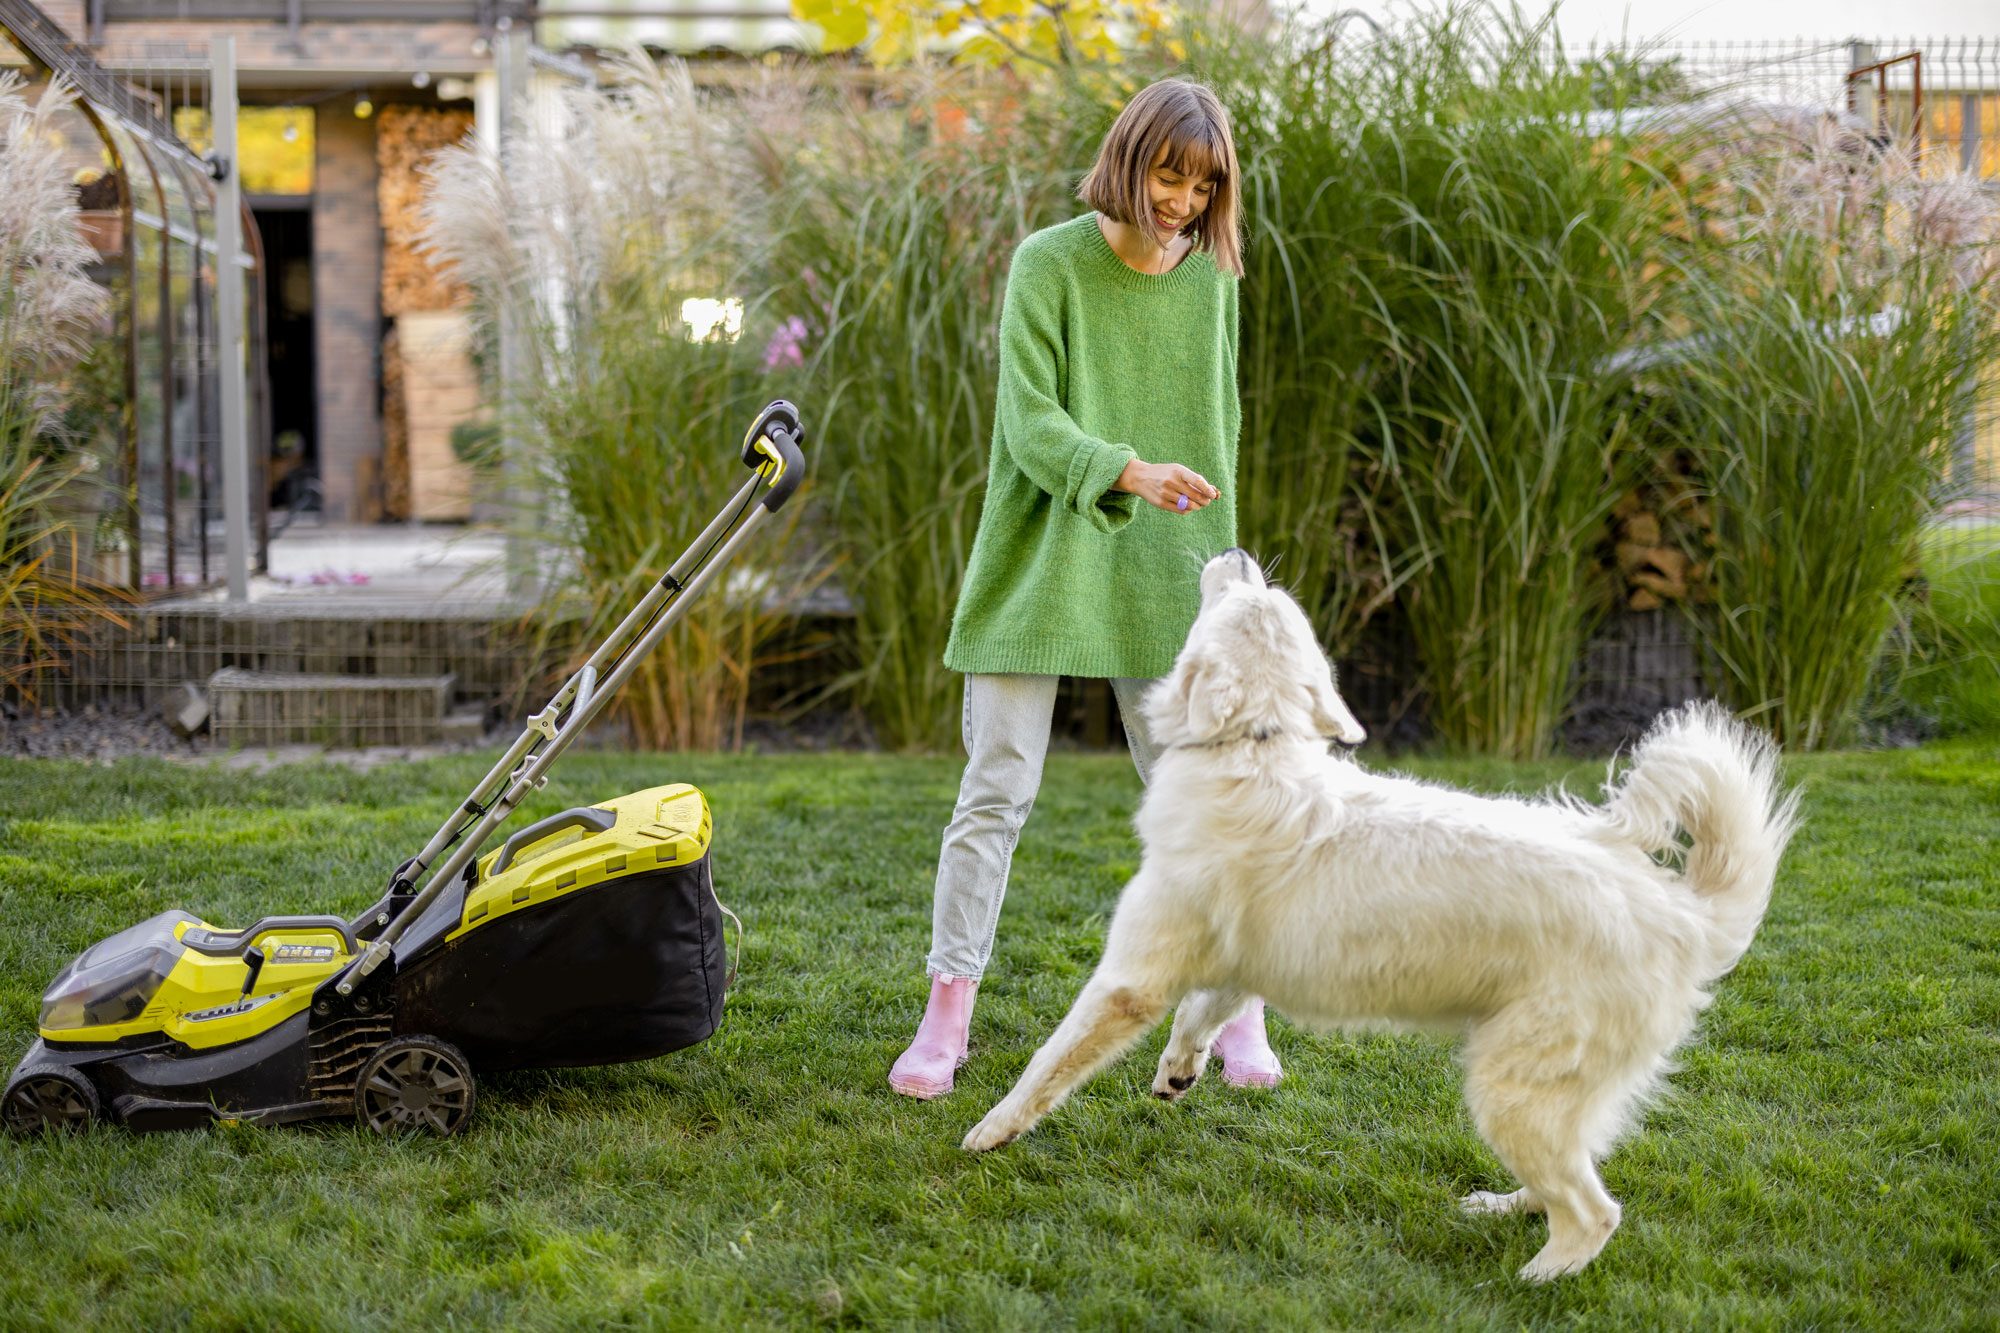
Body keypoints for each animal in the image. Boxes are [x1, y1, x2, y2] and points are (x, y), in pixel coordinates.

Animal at [960, 544, 1808, 1280]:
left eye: (1245, 599)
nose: (1237, 550)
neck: (1256, 746)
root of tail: (1682, 911)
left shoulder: (1130, 978)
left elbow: (1050, 1061)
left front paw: (988, 1131)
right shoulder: (1237, 961)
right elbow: (1201, 1015)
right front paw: (1178, 1072)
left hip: (1511, 1090)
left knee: (1595, 1212)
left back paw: (1535, 1277)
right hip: (1549, 1100)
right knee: (1568, 1181)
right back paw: (1502, 1207)